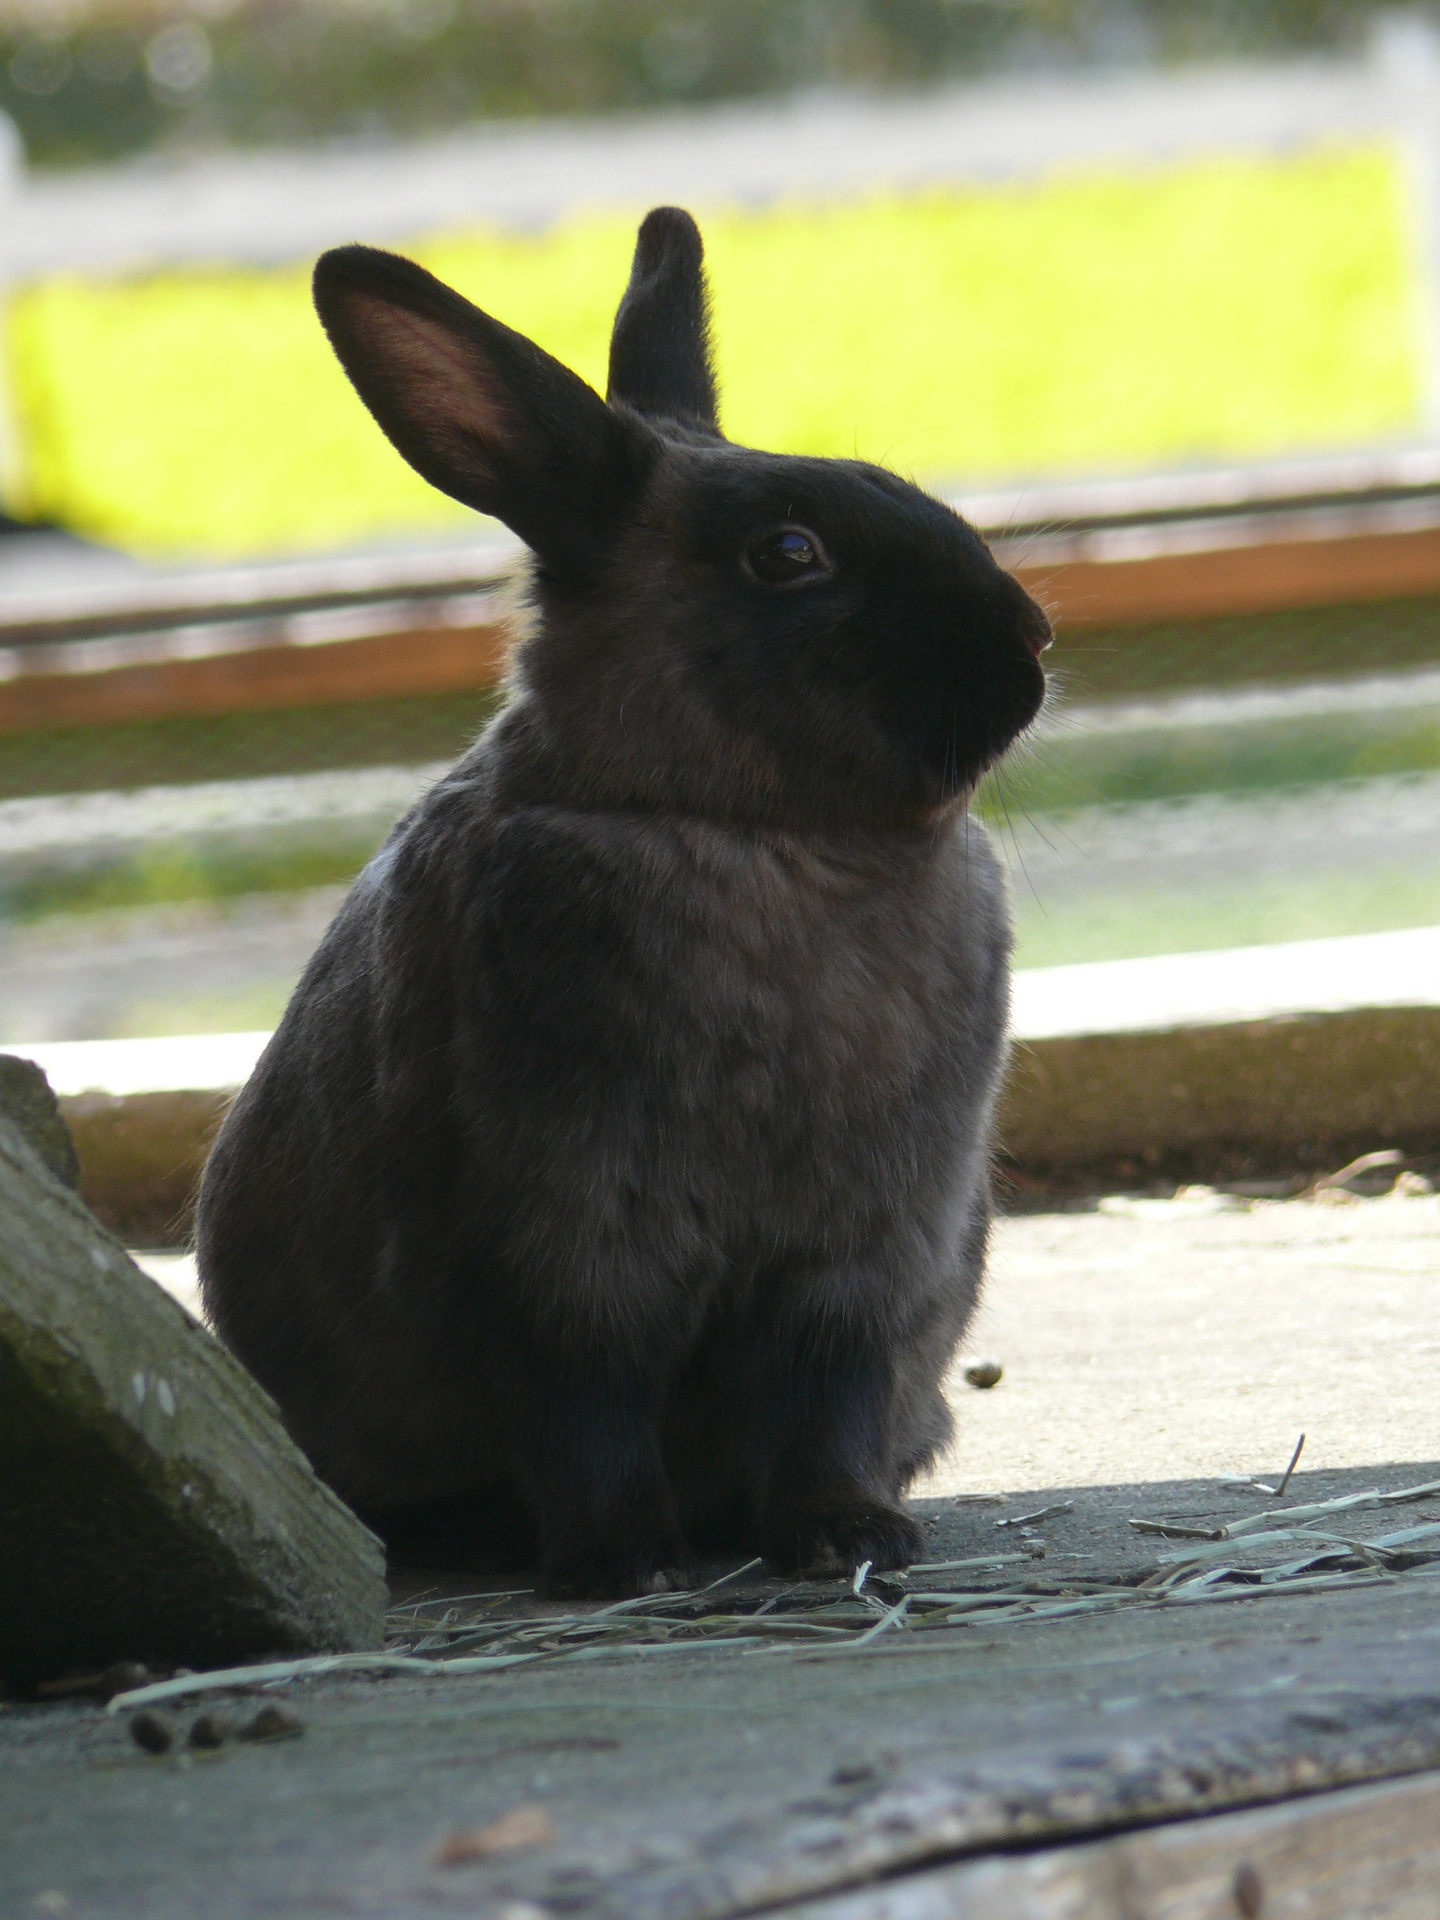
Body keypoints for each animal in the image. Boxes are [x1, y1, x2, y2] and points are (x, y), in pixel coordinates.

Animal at [194, 206, 1052, 1589]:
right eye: (788, 554)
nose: (1031, 639)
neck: (754, 840)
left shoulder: (857, 1263)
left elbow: (825, 1404)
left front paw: (846, 1535)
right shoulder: (563, 1250)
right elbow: (584, 1408)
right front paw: (626, 1561)